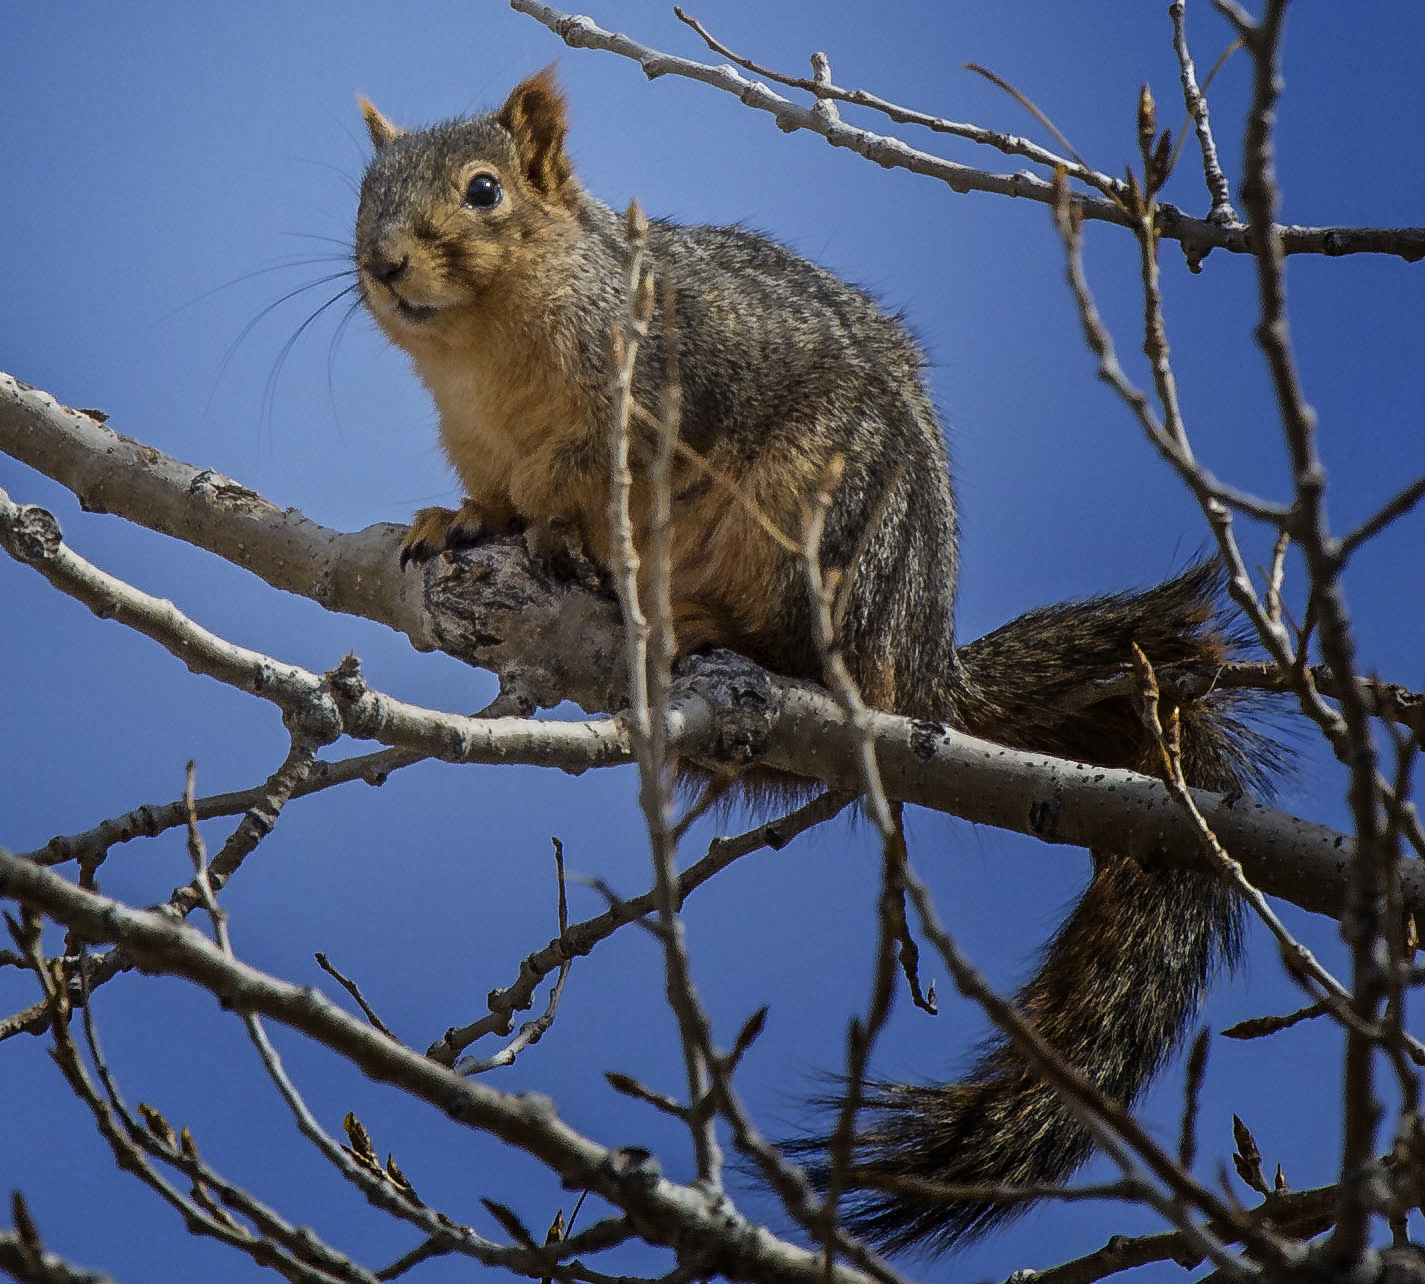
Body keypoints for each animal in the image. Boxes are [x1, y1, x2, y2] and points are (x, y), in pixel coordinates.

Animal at [354, 69, 1276, 1254]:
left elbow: (576, 490)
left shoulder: (656, 391)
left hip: (819, 513)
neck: (485, 355)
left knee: (793, 638)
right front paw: (458, 520)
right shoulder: (479, 443)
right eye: (365, 190)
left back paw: (689, 617)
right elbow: (493, 497)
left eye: (484, 190)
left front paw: (559, 537)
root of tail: (923, 668)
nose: (383, 262)